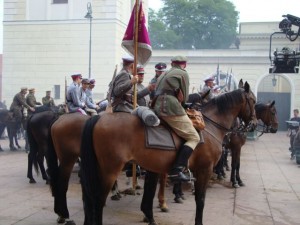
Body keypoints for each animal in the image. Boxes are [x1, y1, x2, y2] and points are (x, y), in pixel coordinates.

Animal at [78, 80, 256, 225]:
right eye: (253, 101)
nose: (253, 124)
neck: (210, 126)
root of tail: (98, 118)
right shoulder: (204, 169)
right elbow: (200, 200)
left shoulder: (157, 168)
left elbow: (149, 196)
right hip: (109, 169)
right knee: (98, 200)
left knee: (88, 198)